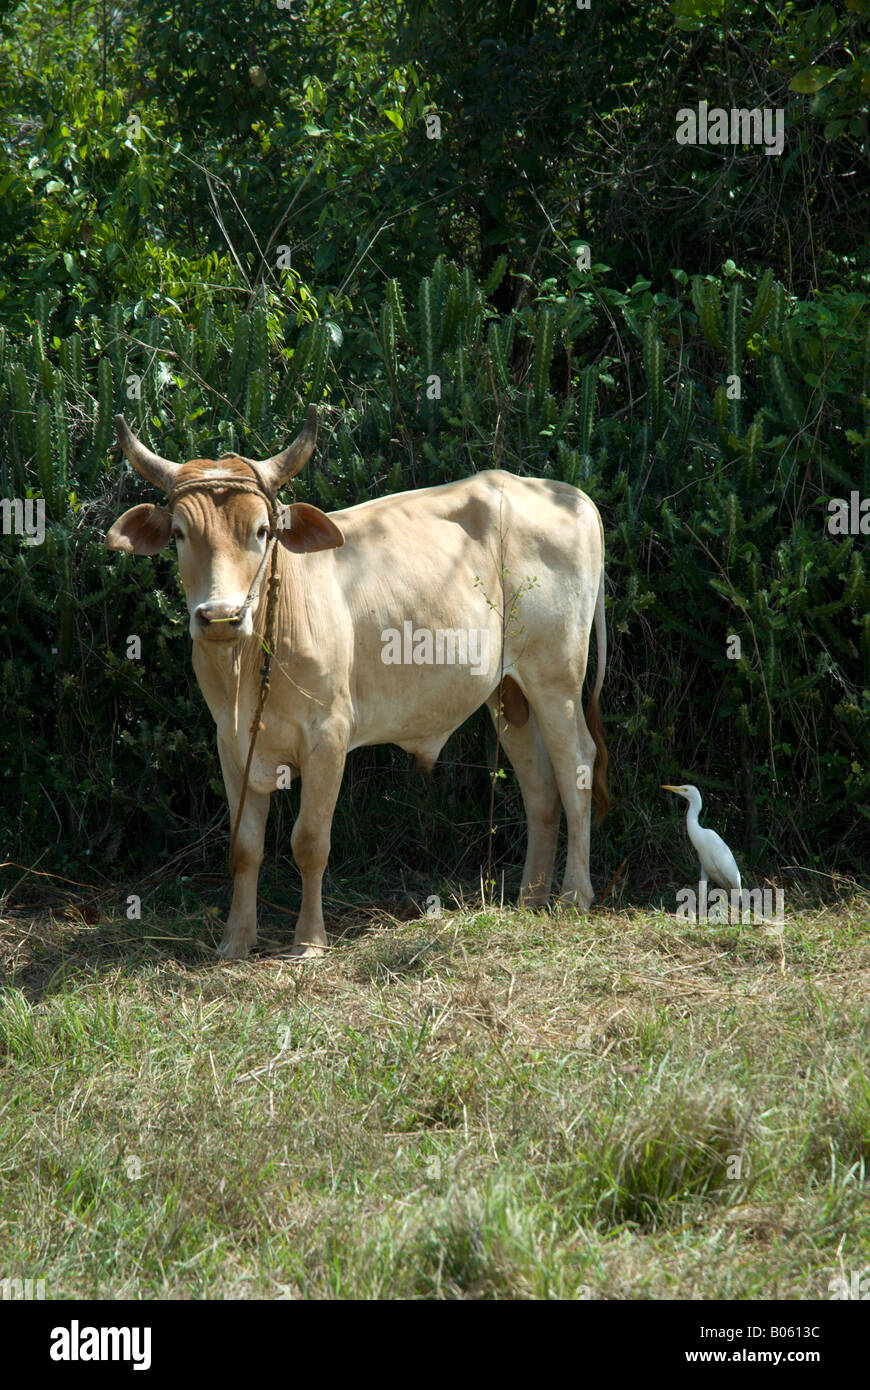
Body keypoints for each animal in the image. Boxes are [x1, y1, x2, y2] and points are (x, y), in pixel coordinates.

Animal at [104, 405, 605, 961]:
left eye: (262, 531)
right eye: (179, 534)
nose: (219, 617)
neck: (249, 662)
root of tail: (566, 492)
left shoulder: (328, 736)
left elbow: (310, 842)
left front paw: (309, 941)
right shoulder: (230, 743)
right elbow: (245, 848)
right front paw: (236, 941)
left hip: (556, 676)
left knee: (576, 766)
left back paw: (574, 895)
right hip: (508, 692)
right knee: (539, 784)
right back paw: (529, 898)